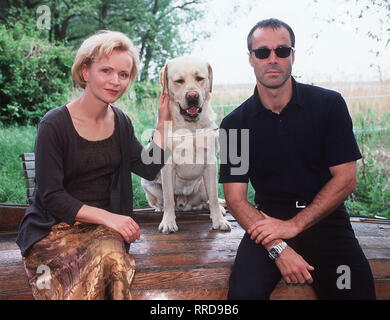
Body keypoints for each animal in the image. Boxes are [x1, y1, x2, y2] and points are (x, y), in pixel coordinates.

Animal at [141, 57, 230, 232]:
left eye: (199, 78)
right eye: (179, 81)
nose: (192, 96)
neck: (190, 127)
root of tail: (185, 203)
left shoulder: (211, 163)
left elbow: (214, 197)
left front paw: (218, 220)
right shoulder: (167, 166)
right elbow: (169, 198)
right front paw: (168, 222)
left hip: (202, 185)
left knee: (208, 200)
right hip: (148, 183)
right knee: (163, 201)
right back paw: (162, 209)